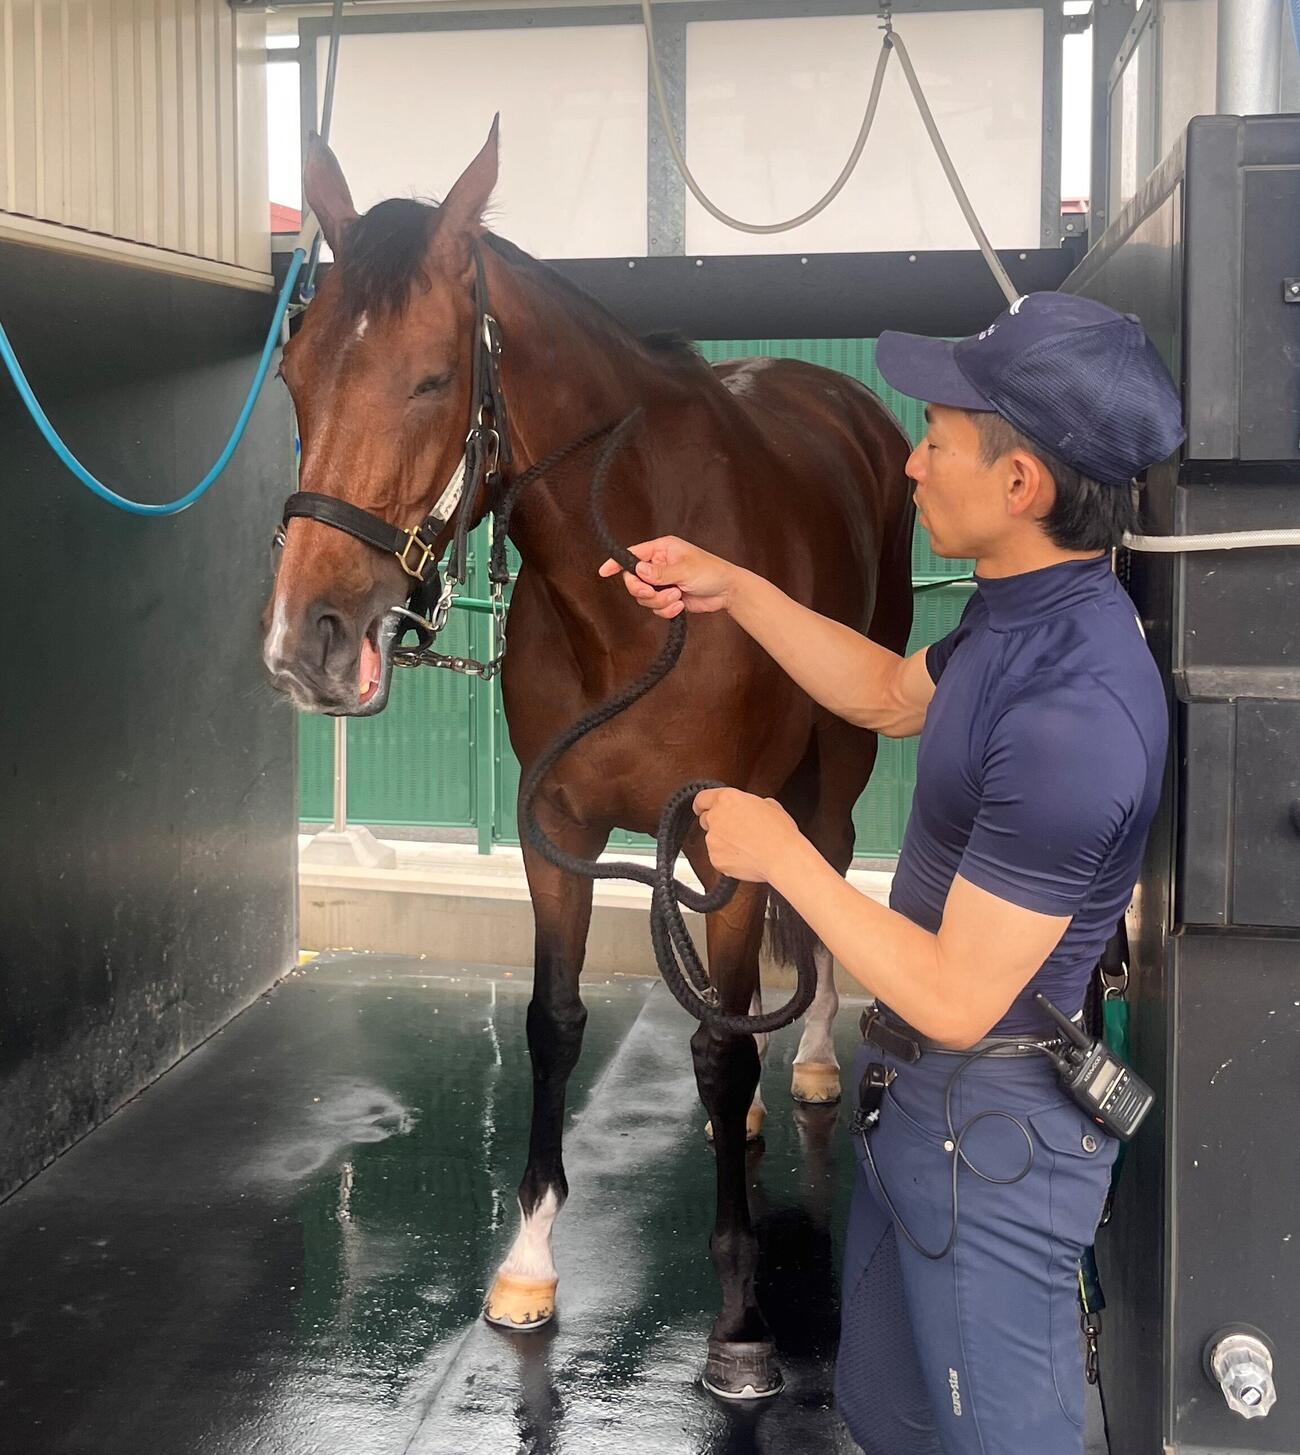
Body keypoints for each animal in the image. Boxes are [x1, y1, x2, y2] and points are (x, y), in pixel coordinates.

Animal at [263, 120, 914, 1400]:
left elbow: (716, 1041)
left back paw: (810, 1058)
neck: (631, 598)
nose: (307, 642)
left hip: (840, 751)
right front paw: (526, 1262)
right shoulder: (556, 829)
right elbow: (556, 1022)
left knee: (822, 873)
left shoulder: (726, 820)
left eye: (430, 377)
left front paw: (741, 1323)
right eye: (295, 375)